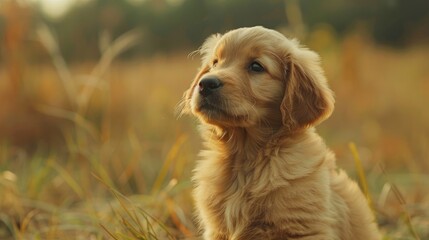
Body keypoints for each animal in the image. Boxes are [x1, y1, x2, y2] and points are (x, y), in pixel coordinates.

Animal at [179, 26, 380, 240]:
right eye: (215, 63)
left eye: (256, 67)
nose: (205, 83)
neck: (245, 158)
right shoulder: (217, 231)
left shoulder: (304, 229)